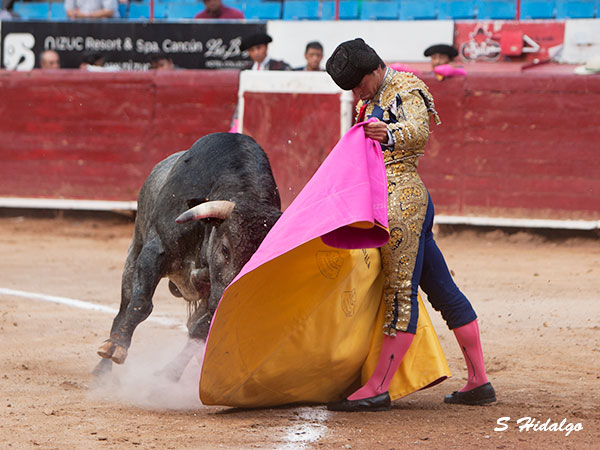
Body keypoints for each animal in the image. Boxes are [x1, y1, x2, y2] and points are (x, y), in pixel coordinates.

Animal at [94, 132, 282, 378]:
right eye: (225, 249)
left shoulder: (214, 297)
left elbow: (201, 329)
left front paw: (169, 373)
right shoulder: (155, 251)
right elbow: (140, 304)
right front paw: (116, 347)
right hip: (134, 252)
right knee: (124, 306)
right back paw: (103, 366)